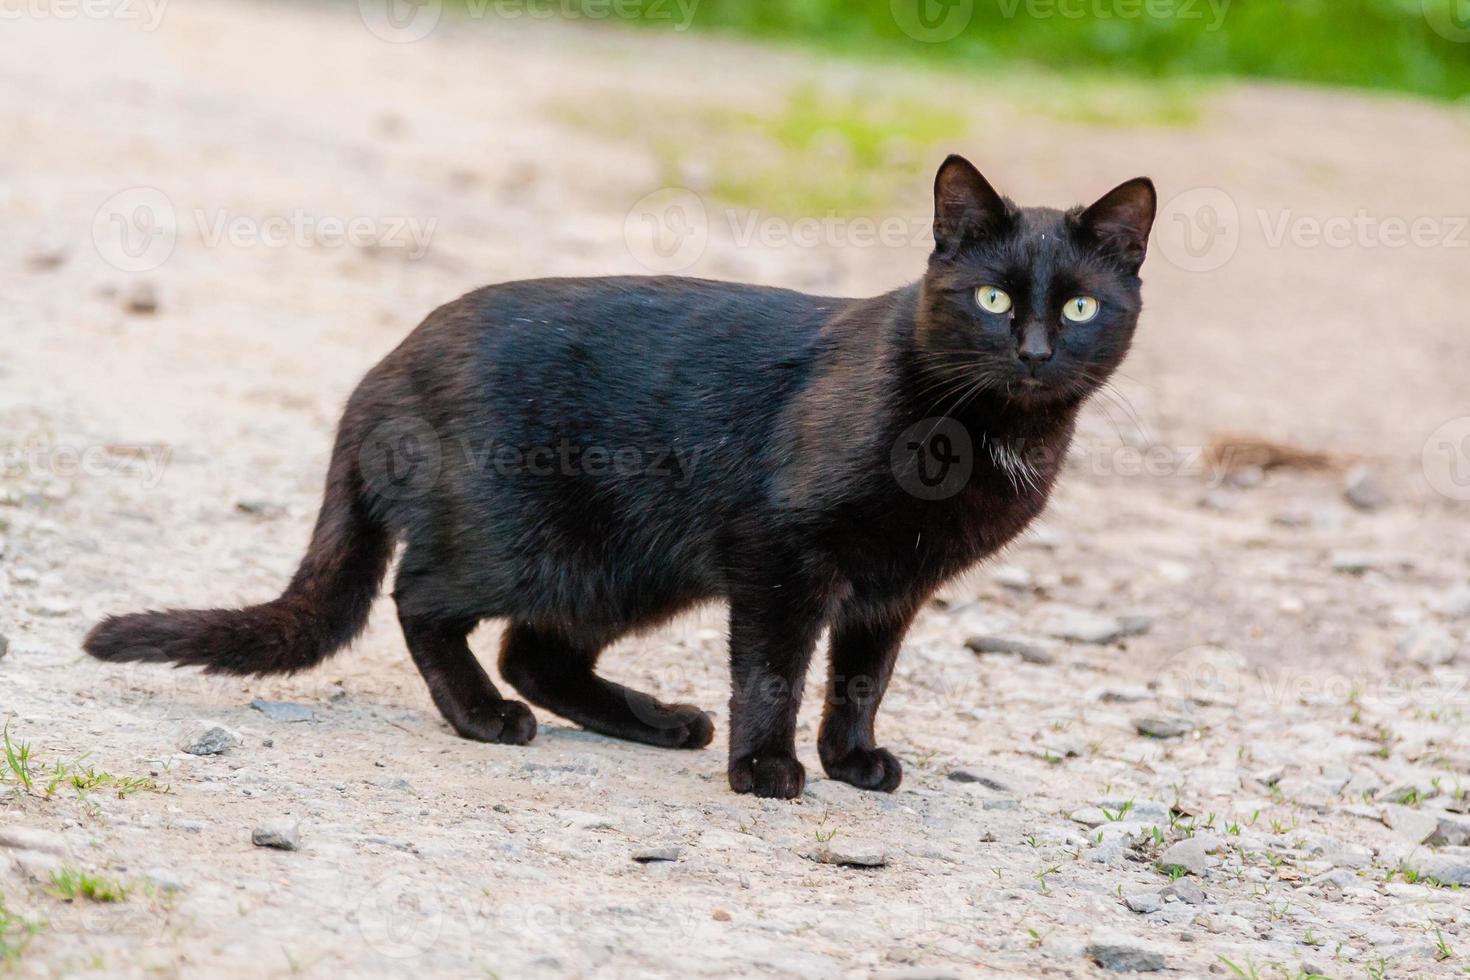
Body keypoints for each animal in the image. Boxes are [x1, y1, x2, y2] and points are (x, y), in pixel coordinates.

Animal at [85, 153, 1152, 799]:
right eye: (992, 298)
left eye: (1083, 307)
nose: (1035, 351)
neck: (988, 431)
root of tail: (384, 367)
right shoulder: (781, 553)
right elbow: (774, 669)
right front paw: (766, 768)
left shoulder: (894, 588)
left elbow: (861, 679)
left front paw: (851, 761)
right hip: (526, 543)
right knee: (423, 600)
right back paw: (484, 717)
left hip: (626, 569)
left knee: (534, 651)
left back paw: (658, 721)